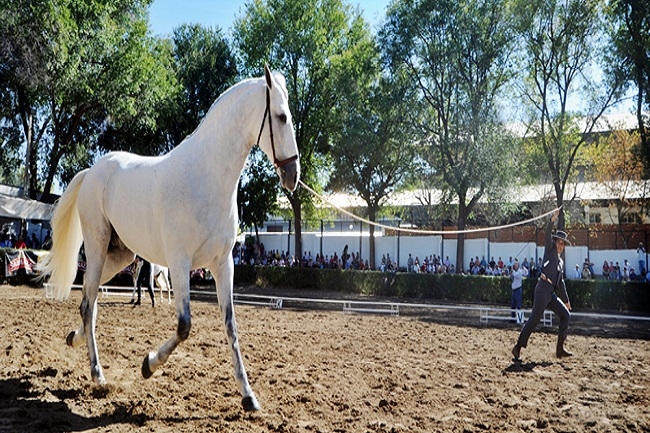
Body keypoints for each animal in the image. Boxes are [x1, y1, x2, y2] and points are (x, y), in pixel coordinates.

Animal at [41, 66, 300, 410]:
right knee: (87, 302)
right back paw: (97, 374)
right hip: (96, 248)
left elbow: (231, 326)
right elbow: (184, 325)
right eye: (281, 117)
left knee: (89, 301)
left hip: (120, 256)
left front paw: (249, 397)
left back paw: (76, 338)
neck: (206, 177)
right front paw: (148, 365)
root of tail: (93, 171)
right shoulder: (180, 264)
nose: (292, 176)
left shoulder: (223, 265)